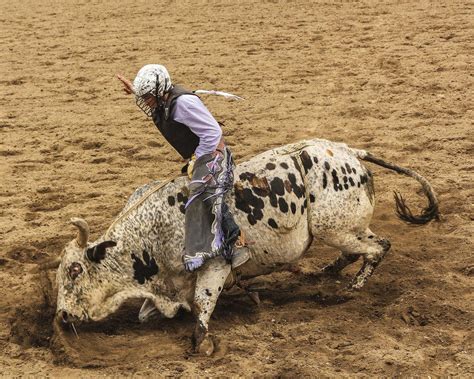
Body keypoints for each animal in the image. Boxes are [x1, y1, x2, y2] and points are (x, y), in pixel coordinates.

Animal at [51, 140, 436, 356]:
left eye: (75, 270)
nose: (63, 316)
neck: (153, 232)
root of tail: (350, 152)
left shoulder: (215, 266)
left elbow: (203, 302)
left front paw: (202, 342)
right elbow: (155, 311)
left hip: (336, 228)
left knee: (378, 247)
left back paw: (349, 289)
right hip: (344, 228)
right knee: (359, 249)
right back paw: (324, 272)